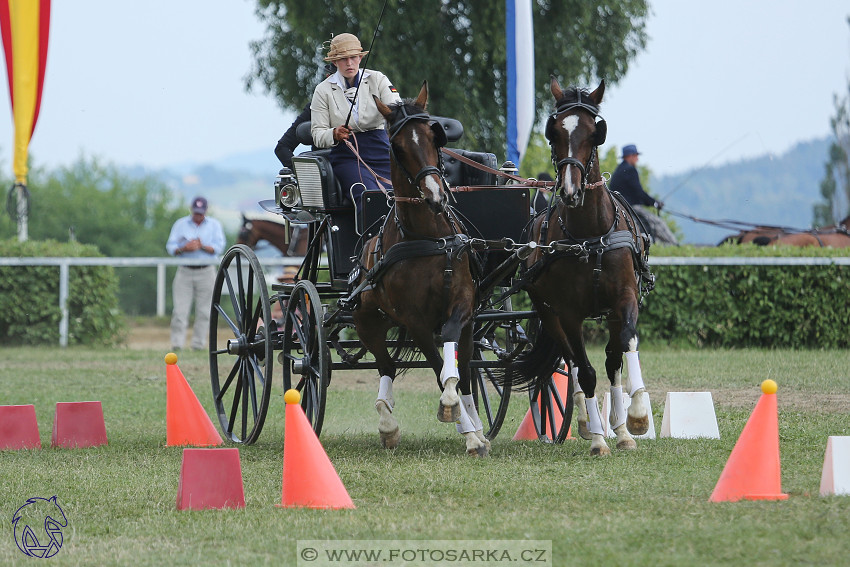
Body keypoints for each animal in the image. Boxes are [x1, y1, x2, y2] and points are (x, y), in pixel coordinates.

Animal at [350, 83, 486, 458]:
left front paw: (466, 424)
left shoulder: (462, 303)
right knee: (386, 365)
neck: (428, 237)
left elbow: (452, 360)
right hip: (366, 320)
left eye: (433, 136)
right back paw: (387, 423)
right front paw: (458, 420)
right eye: (397, 147)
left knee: (465, 368)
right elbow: (438, 368)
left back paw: (477, 425)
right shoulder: (414, 320)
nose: (435, 196)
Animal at [504, 77, 648, 458]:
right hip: (549, 314)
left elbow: (627, 343)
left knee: (612, 360)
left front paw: (637, 416)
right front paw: (598, 439)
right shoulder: (568, 313)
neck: (590, 235)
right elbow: (585, 371)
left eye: (593, 132)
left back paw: (620, 428)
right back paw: (587, 423)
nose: (570, 190)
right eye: (554, 132)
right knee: (570, 362)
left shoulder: (625, 299)